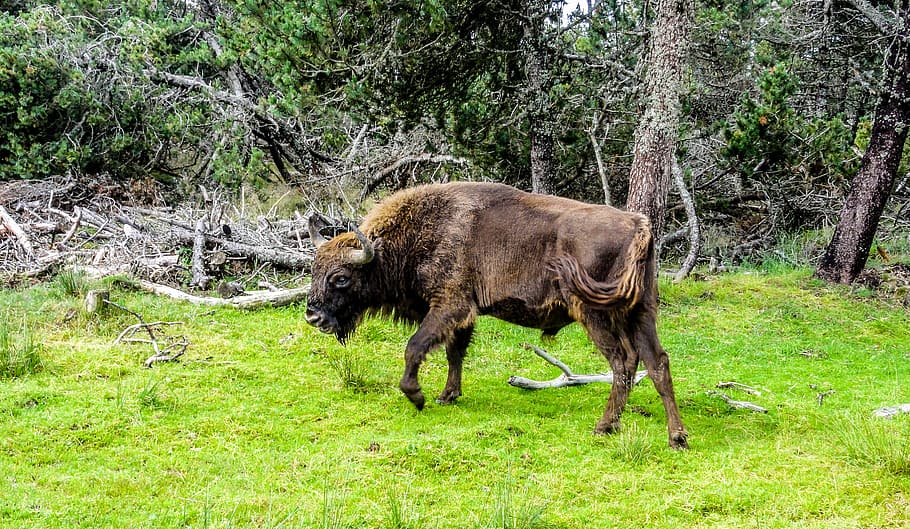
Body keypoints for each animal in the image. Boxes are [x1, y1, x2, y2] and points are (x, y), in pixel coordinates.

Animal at [305, 182, 688, 449]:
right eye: (314, 269)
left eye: (341, 278)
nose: (313, 317)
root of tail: (638, 224)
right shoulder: (464, 314)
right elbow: (454, 353)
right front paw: (448, 396)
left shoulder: (449, 305)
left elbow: (416, 347)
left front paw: (417, 396)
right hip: (641, 312)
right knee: (657, 363)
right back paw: (676, 437)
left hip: (596, 313)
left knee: (623, 362)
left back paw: (604, 426)